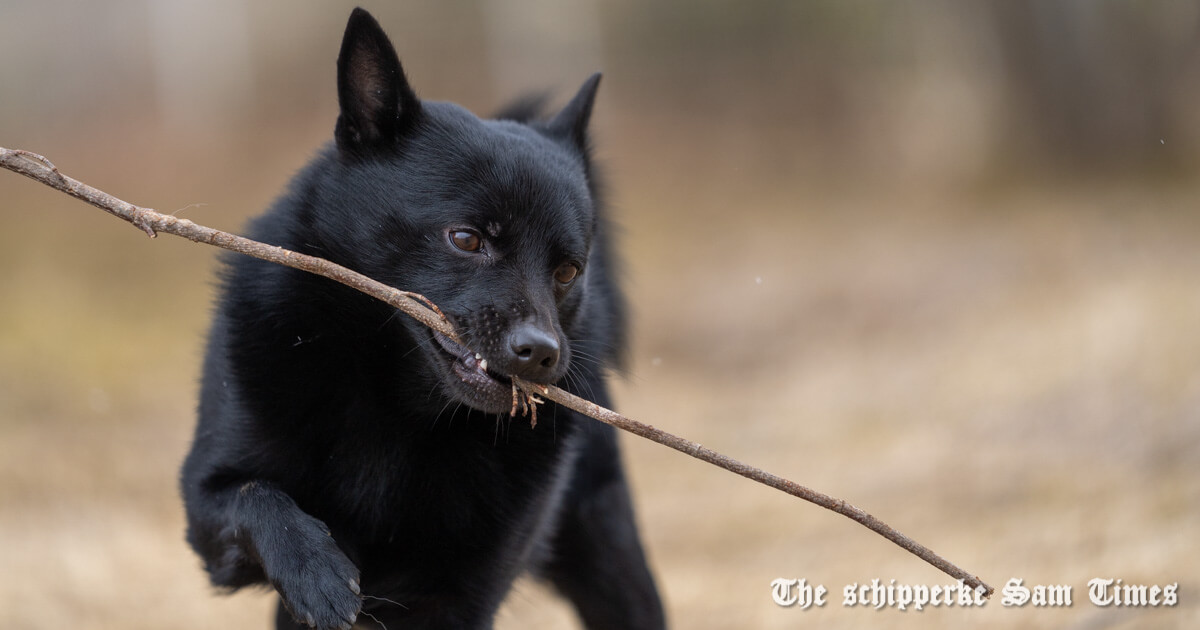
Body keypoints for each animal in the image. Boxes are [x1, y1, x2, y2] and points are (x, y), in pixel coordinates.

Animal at [180, 6, 667, 628]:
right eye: (466, 239)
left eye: (566, 270)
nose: (541, 352)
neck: (394, 406)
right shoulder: (206, 505)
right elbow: (259, 497)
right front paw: (316, 571)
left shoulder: (456, 596)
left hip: (608, 554)